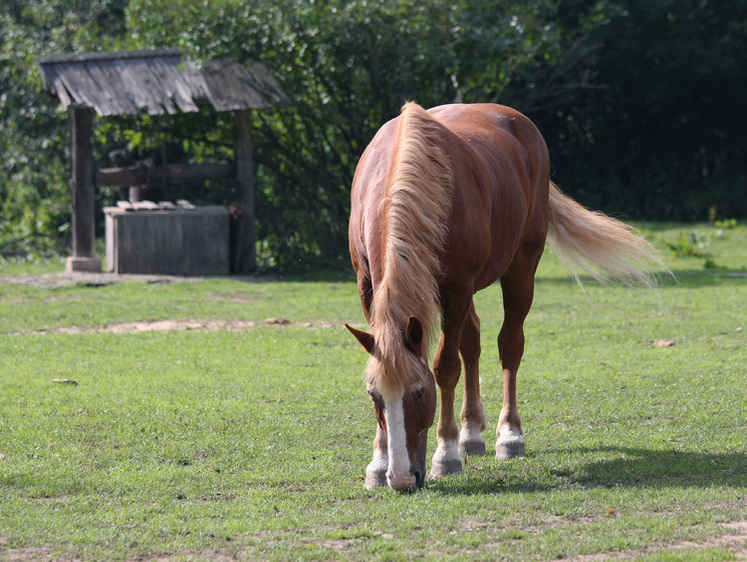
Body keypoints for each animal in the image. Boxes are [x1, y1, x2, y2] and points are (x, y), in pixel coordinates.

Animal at [344, 101, 668, 490]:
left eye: (420, 392)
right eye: (374, 395)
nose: (404, 479)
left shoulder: (456, 287)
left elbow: (445, 367)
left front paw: (446, 455)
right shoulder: (367, 284)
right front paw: (379, 463)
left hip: (521, 268)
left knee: (509, 345)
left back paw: (509, 436)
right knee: (472, 342)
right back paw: (471, 433)